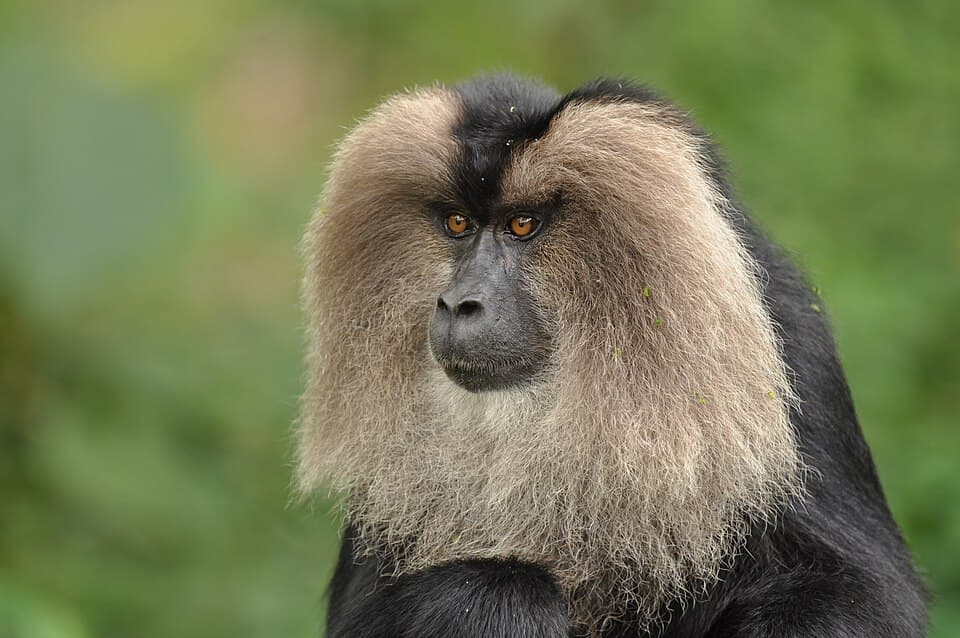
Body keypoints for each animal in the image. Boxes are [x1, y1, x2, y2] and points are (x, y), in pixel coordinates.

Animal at [297, 74, 927, 637]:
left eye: (522, 225)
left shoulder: (794, 347)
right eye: (458, 223)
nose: (458, 303)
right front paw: (495, 604)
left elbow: (859, 594)